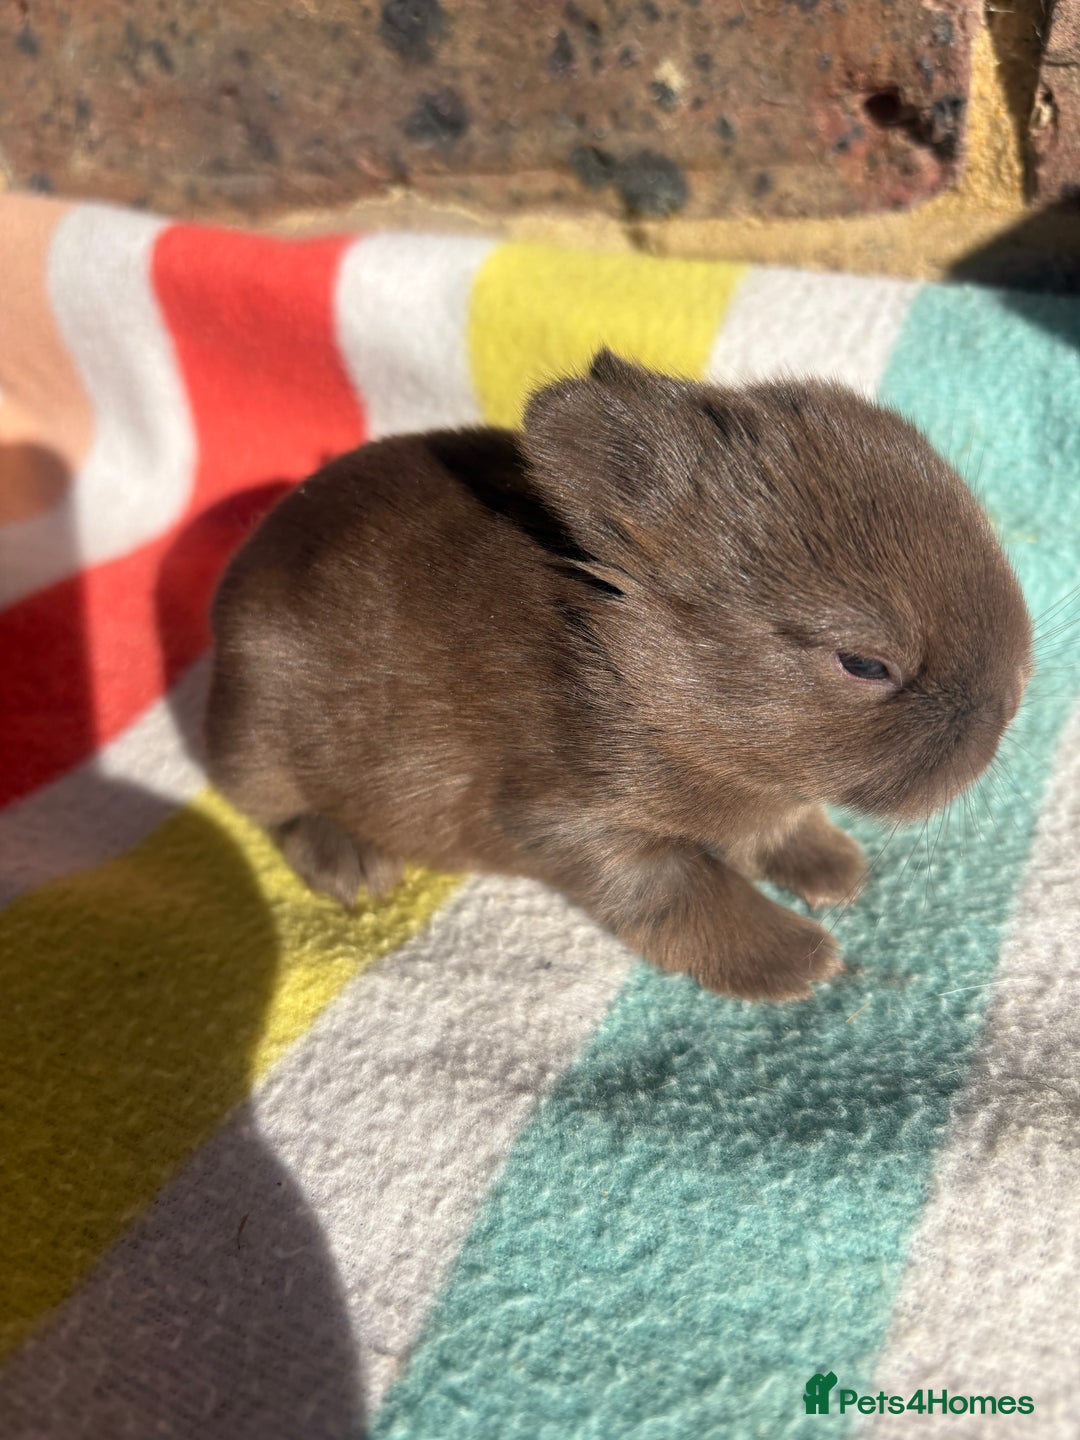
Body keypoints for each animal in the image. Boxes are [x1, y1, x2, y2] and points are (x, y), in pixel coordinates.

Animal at [204, 349, 1033, 1001]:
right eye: (864, 664)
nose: (1014, 696)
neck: (645, 677)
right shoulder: (582, 826)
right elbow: (690, 895)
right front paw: (797, 961)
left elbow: (782, 826)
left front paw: (833, 869)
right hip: (261, 738)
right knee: (274, 809)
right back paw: (351, 860)